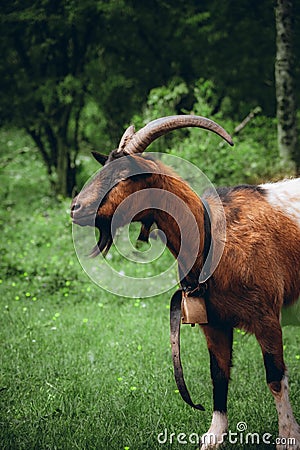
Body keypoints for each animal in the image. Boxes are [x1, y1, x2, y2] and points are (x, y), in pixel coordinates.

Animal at [71, 114, 300, 448]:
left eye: (124, 174)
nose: (75, 208)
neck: (213, 237)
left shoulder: (267, 317)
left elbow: (275, 377)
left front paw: (288, 436)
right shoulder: (214, 322)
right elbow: (218, 375)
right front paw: (213, 437)